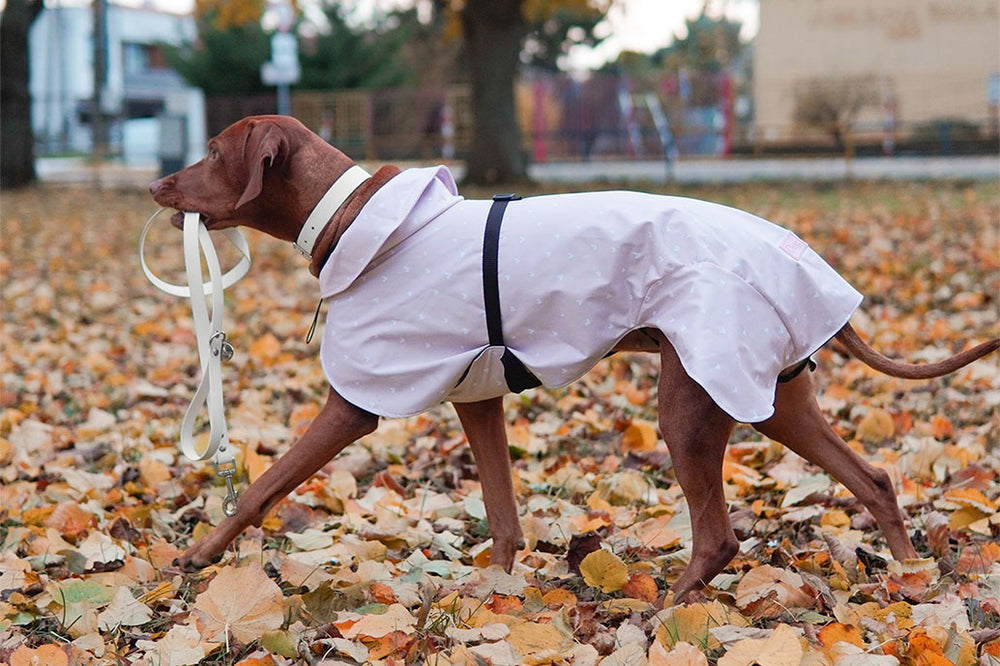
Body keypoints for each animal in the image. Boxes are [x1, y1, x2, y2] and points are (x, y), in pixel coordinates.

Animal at [150, 116, 1000, 600]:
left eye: (213, 151)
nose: (157, 183)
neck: (358, 218)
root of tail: (801, 261)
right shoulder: (478, 396)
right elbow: (502, 515)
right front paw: (493, 593)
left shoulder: (356, 401)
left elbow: (263, 485)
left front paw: (198, 553)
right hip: (773, 396)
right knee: (875, 478)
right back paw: (913, 581)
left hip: (691, 401)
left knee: (719, 536)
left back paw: (662, 614)